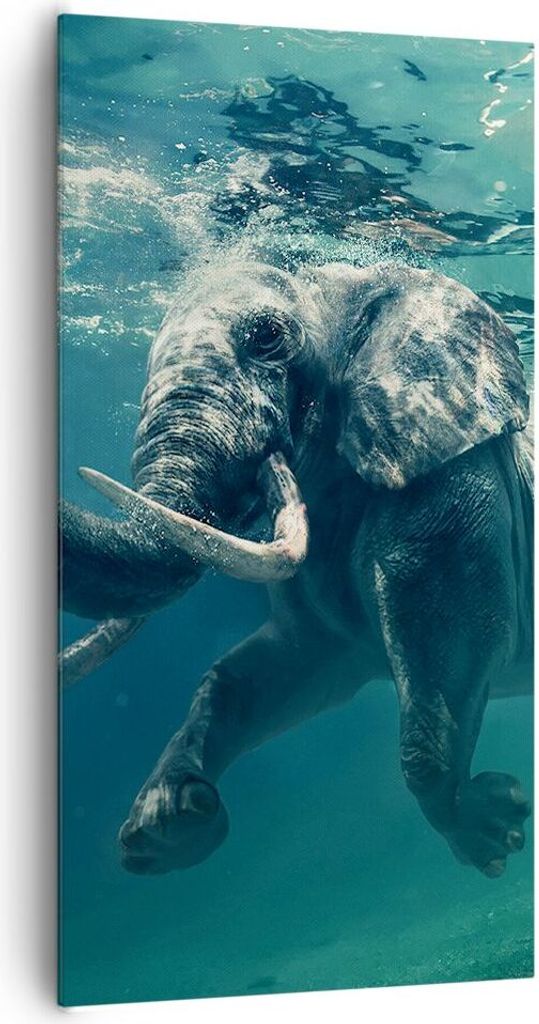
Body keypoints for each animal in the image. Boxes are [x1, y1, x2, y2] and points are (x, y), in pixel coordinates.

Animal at [60, 258, 533, 879]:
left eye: (266, 338)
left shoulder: (449, 483)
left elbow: (454, 652)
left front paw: (496, 829)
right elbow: (261, 672)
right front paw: (168, 824)